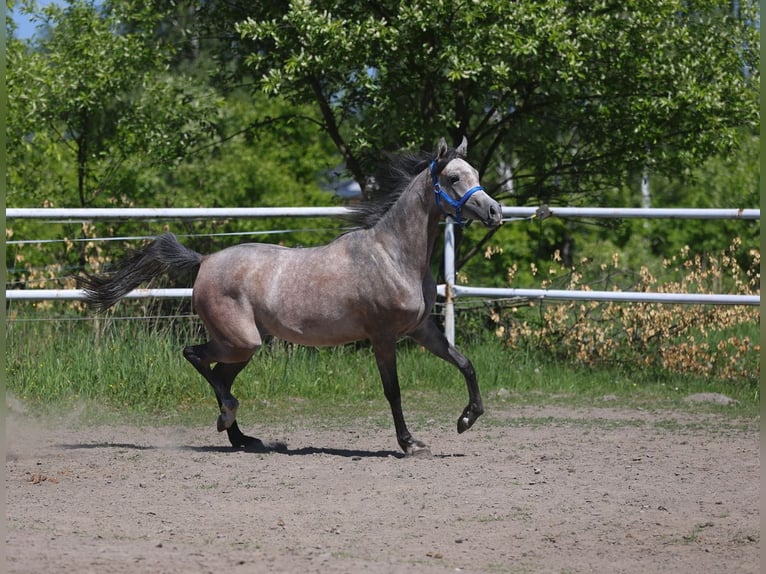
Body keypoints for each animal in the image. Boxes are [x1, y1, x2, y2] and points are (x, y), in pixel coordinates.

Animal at [81, 137, 504, 456]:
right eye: (453, 177)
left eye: (477, 174)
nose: (494, 212)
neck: (393, 255)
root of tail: (204, 261)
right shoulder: (383, 337)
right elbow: (393, 392)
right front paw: (411, 443)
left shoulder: (420, 329)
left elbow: (465, 364)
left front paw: (466, 419)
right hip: (239, 340)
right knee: (197, 358)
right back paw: (229, 417)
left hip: (245, 345)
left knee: (220, 375)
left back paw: (242, 437)